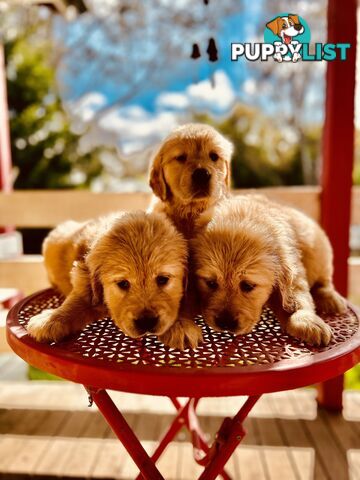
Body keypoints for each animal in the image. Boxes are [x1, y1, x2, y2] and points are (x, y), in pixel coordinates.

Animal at [26, 211, 201, 348]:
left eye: (163, 279)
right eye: (123, 283)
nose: (146, 321)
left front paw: (180, 325)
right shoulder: (84, 279)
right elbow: (75, 301)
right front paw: (50, 320)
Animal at [191, 194, 346, 344]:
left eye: (248, 286)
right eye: (211, 283)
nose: (225, 324)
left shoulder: (293, 269)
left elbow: (298, 295)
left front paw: (307, 321)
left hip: (319, 251)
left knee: (324, 281)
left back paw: (330, 299)